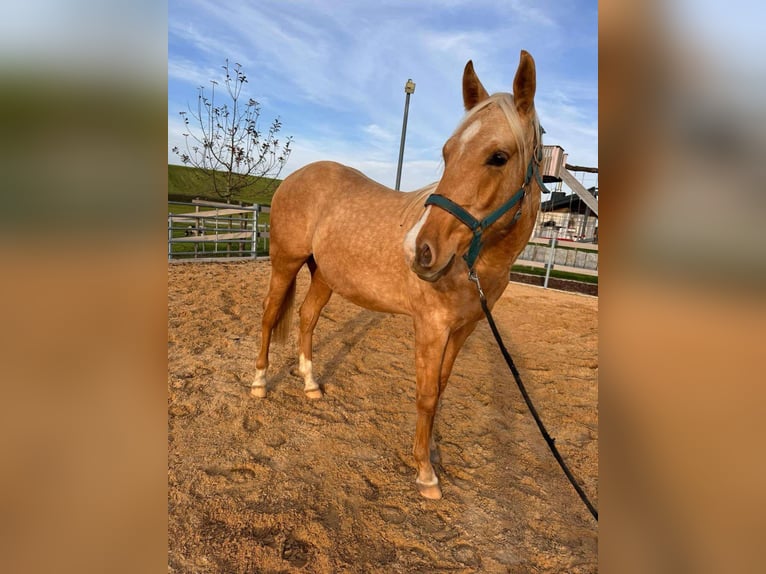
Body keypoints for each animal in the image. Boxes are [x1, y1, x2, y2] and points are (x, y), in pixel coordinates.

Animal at [255, 51, 544, 500]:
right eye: (446, 152)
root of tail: (295, 177)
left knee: (306, 318)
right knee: (270, 315)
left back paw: (310, 385)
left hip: (324, 276)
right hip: (285, 263)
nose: (419, 250)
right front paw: (425, 473)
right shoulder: (431, 326)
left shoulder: (463, 329)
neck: (474, 265)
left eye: (499, 156)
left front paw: (433, 453)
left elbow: (442, 387)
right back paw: (259, 383)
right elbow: (426, 394)